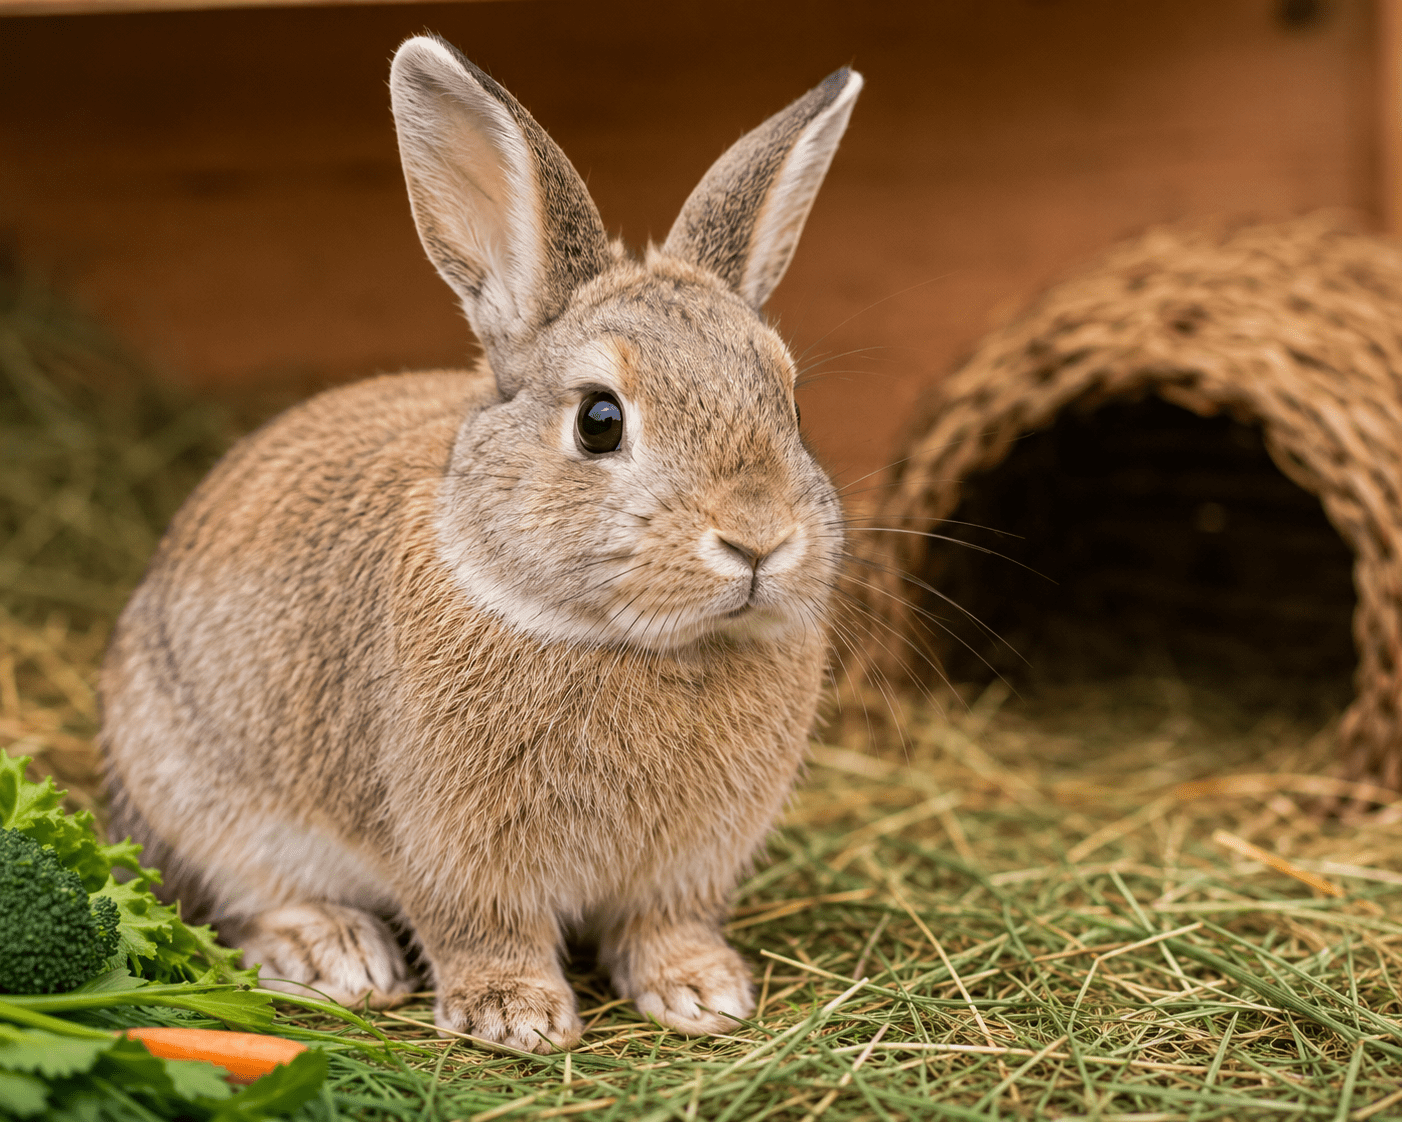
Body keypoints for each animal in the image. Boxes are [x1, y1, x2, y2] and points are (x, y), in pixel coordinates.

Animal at [99, 34, 862, 1053]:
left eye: (792, 405)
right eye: (599, 420)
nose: (758, 540)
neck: (629, 641)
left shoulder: (686, 867)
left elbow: (664, 925)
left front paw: (703, 994)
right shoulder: (451, 850)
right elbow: (480, 930)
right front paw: (516, 1016)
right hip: (200, 793)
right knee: (243, 897)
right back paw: (334, 954)